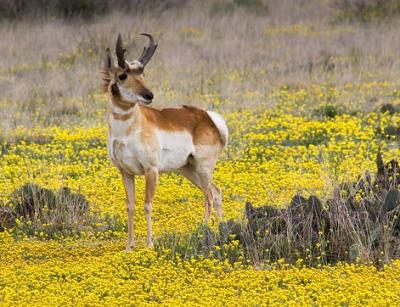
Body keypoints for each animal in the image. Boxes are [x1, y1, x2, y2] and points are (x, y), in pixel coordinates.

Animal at [101, 33, 228, 251]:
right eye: (122, 75)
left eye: (142, 74)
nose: (149, 95)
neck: (128, 130)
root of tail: (207, 118)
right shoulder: (125, 172)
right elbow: (130, 206)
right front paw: (129, 246)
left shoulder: (151, 170)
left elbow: (147, 204)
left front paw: (149, 244)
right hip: (189, 170)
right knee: (216, 191)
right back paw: (218, 227)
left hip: (203, 168)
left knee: (210, 195)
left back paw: (204, 230)